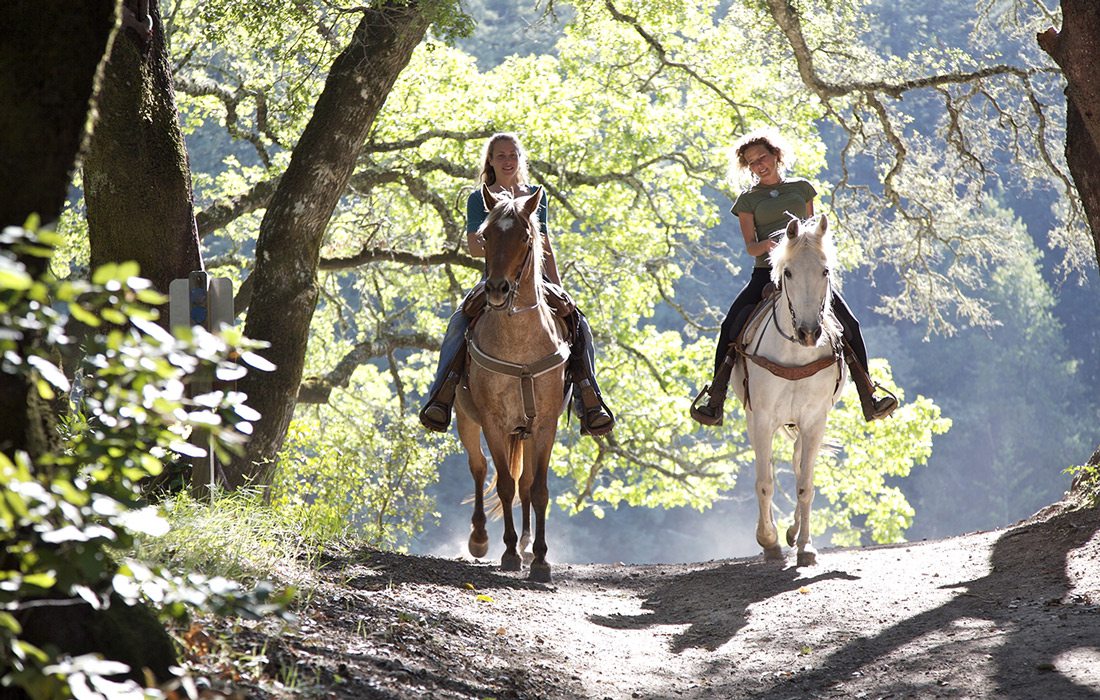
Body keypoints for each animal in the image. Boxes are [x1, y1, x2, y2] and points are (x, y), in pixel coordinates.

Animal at [451, 182, 567, 581]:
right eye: (485, 236)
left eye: (526, 237)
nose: (498, 290)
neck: (520, 348)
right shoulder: (494, 422)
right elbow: (503, 484)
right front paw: (509, 553)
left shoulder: (545, 425)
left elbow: (539, 489)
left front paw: (541, 559)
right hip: (466, 420)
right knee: (479, 468)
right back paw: (480, 538)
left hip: (526, 432)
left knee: (527, 484)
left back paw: (530, 545)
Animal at [734, 215, 844, 567]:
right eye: (789, 272)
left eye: (825, 271)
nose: (809, 333)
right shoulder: (760, 418)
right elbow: (765, 483)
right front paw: (768, 541)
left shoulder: (814, 420)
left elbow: (805, 485)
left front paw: (806, 547)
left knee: (797, 465)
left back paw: (794, 533)